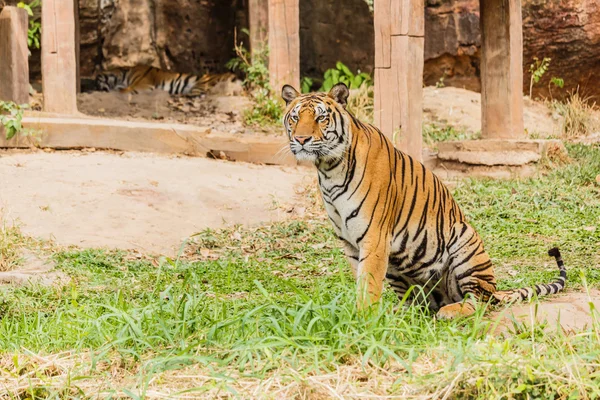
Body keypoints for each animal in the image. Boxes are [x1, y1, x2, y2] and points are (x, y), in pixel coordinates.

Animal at [282, 82, 568, 318]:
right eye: (295, 117)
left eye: (321, 117)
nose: (301, 139)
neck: (329, 169)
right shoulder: (350, 242)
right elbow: (361, 281)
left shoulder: (374, 237)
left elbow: (369, 283)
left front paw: (364, 319)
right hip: (399, 269)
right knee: (420, 304)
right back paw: (401, 313)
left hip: (465, 240)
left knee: (478, 300)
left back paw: (451, 311)